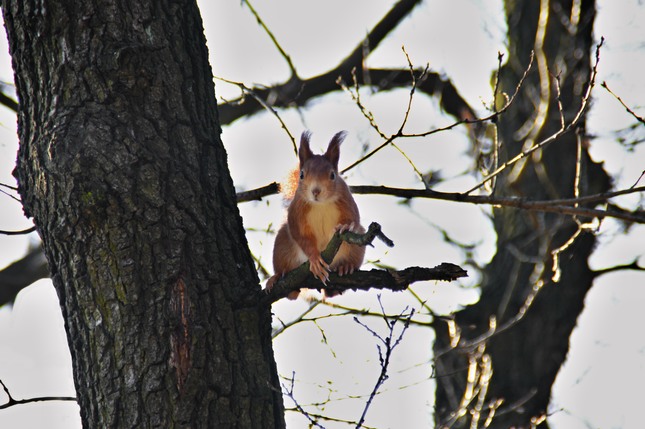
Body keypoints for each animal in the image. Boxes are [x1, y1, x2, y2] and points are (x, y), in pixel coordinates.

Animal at [266, 129, 364, 300]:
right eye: (301, 175)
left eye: (332, 175)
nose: (316, 191)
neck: (320, 204)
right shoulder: (296, 211)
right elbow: (301, 236)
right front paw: (314, 259)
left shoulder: (346, 200)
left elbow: (354, 219)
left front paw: (345, 226)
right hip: (282, 247)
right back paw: (277, 277)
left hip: (356, 248)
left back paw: (346, 266)